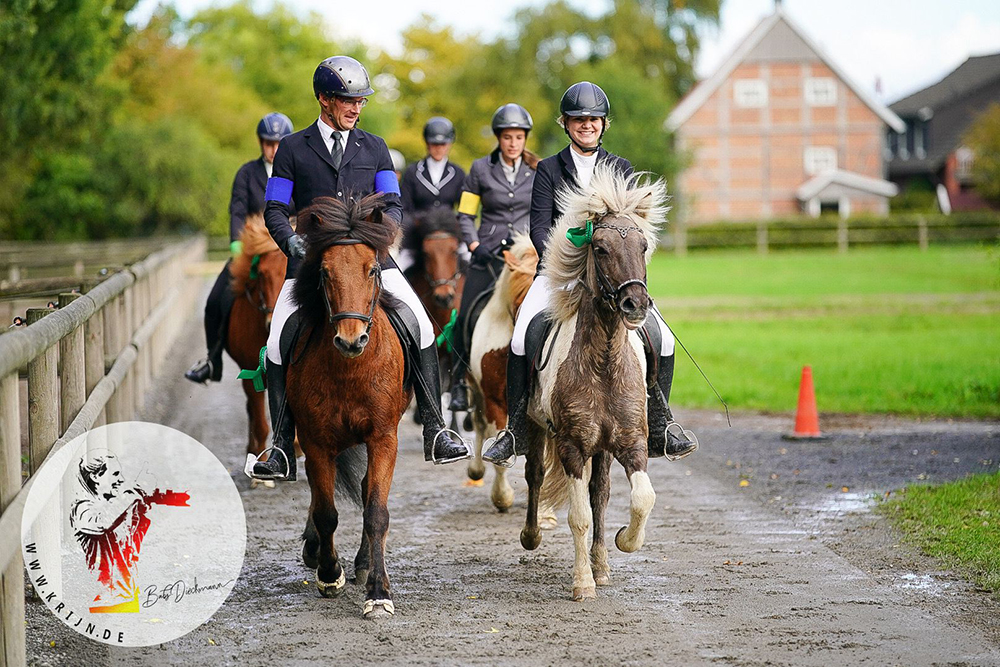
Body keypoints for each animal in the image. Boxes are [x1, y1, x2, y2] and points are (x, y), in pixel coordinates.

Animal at [284, 193, 408, 620]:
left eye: (373, 270)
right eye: (324, 273)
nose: (351, 340)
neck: (350, 369)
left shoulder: (384, 437)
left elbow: (376, 512)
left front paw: (379, 592)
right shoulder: (316, 441)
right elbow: (326, 513)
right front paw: (328, 573)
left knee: (369, 491)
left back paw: (364, 562)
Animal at [520, 164, 668, 604]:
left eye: (643, 246)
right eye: (600, 249)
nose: (636, 305)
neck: (603, 361)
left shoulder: (632, 443)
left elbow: (640, 499)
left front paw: (623, 543)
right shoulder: (571, 445)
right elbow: (578, 516)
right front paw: (582, 583)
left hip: (603, 448)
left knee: (600, 493)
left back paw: (602, 565)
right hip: (538, 427)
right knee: (535, 474)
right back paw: (532, 536)